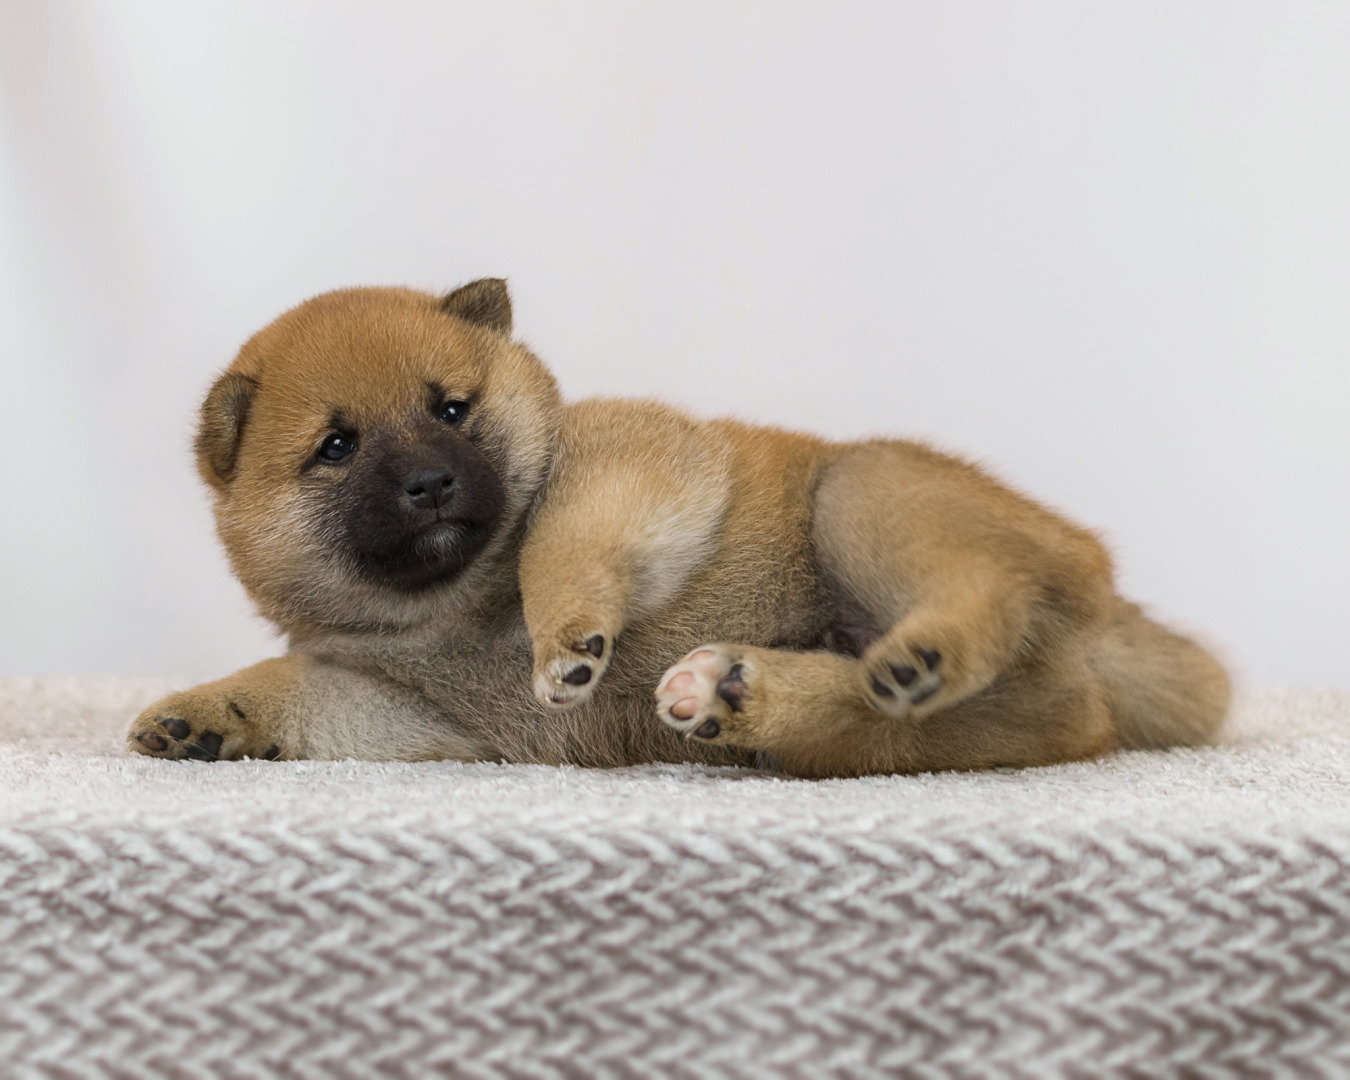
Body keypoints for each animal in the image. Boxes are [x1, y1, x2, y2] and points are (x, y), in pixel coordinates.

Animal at [126, 278, 1236, 777]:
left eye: (451, 408)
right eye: (337, 447)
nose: (433, 482)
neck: (454, 616)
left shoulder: (630, 465)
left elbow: (561, 547)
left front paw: (568, 639)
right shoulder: (411, 713)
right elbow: (291, 688)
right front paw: (201, 716)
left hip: (862, 495)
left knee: (988, 604)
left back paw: (909, 653)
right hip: (926, 722)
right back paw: (736, 691)